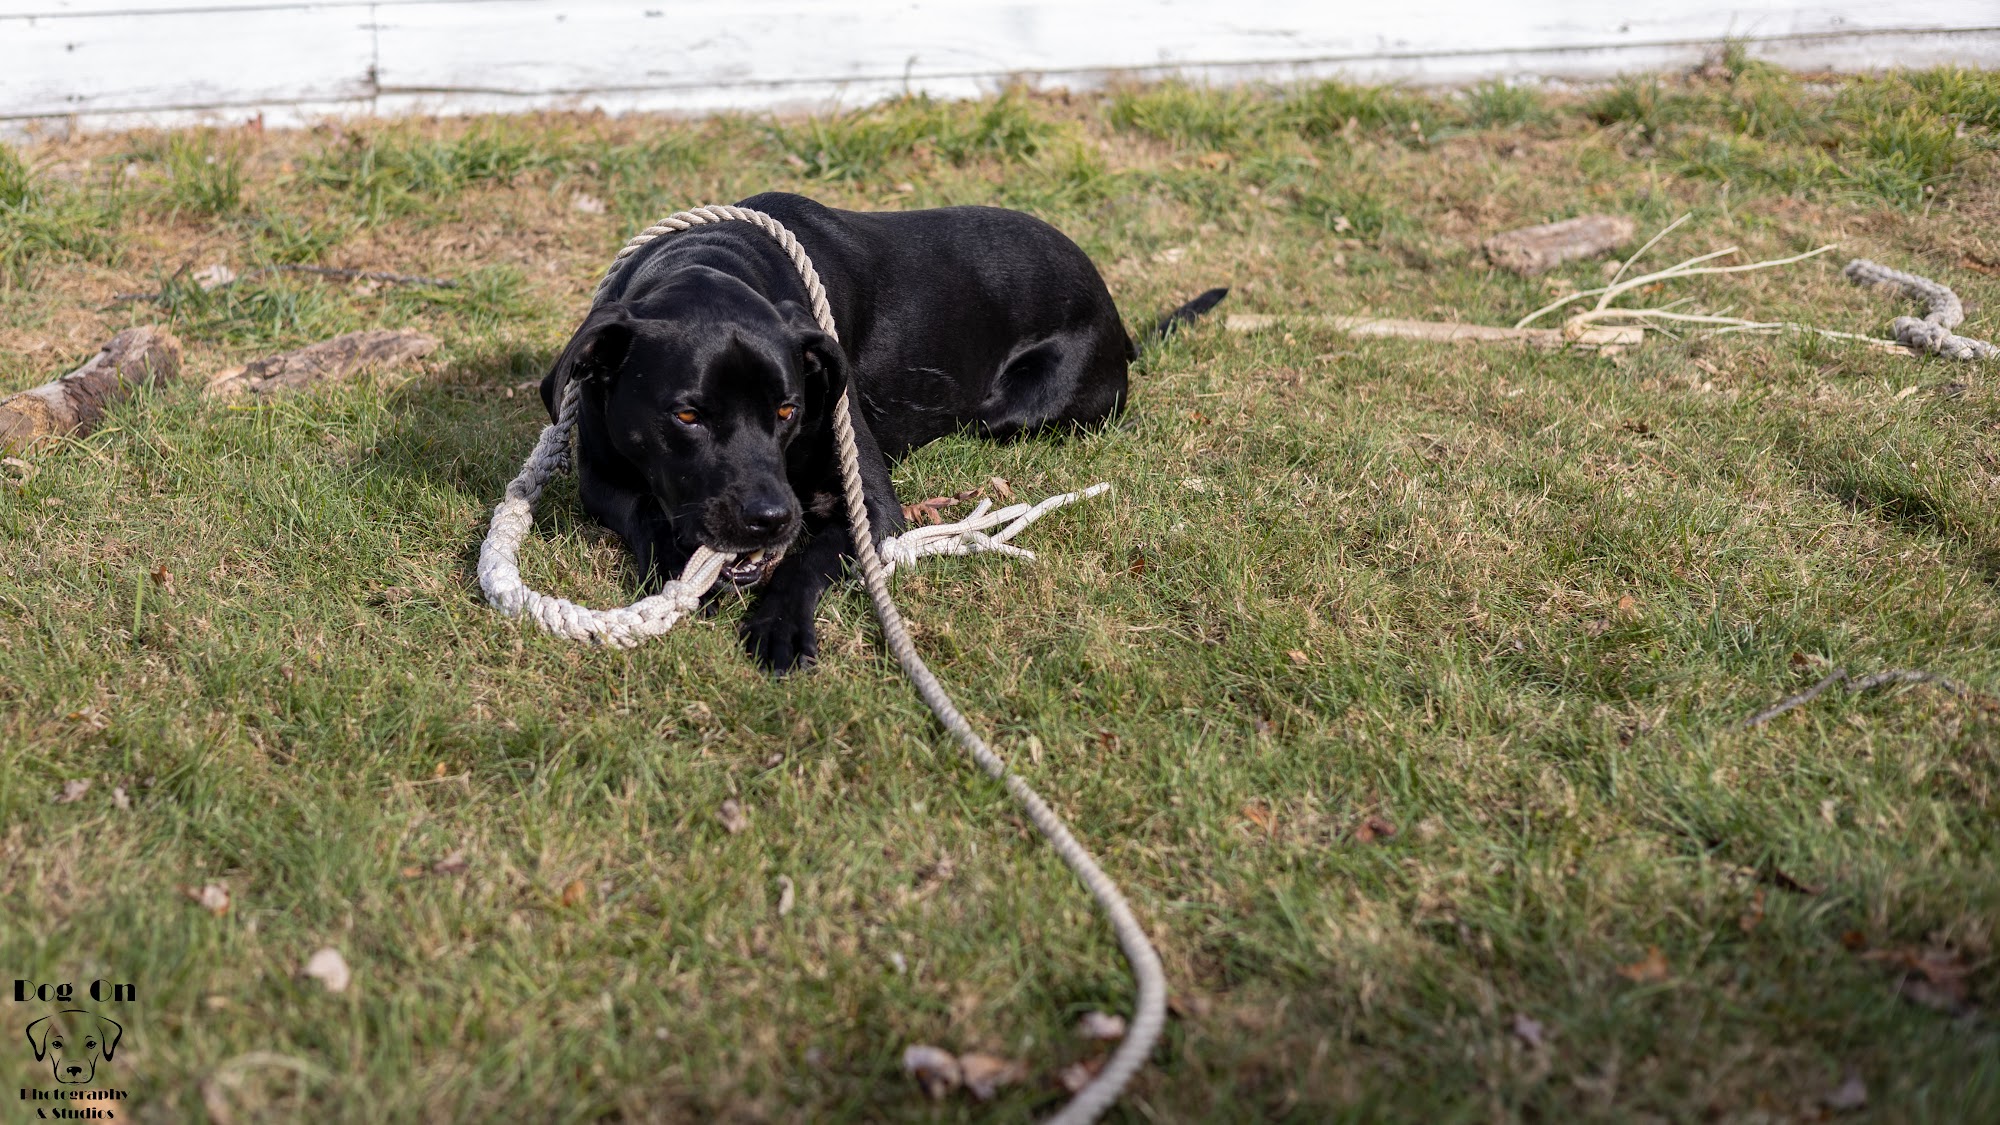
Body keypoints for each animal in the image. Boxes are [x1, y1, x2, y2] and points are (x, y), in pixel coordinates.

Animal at [544, 190, 1216, 664]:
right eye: (686, 415)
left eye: (787, 410)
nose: (770, 518)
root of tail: (1117, 315)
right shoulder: (599, 479)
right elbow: (646, 515)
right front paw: (680, 571)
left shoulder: (870, 507)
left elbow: (809, 559)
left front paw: (779, 625)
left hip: (1012, 414)